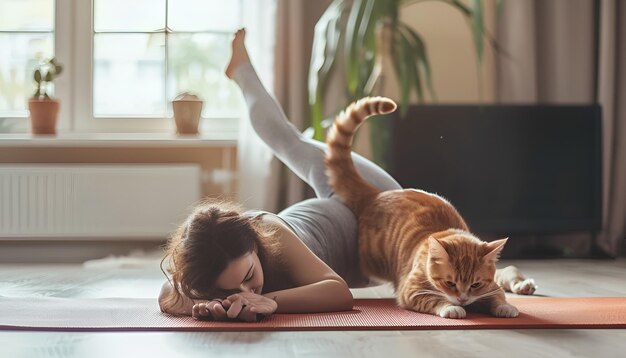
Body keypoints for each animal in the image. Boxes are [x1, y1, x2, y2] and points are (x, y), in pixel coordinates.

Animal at [324, 96, 532, 318]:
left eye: (475, 285)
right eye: (450, 283)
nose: (463, 299)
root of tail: (376, 194)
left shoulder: (491, 287)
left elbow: (497, 296)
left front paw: (505, 306)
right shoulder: (411, 290)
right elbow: (434, 299)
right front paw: (451, 307)